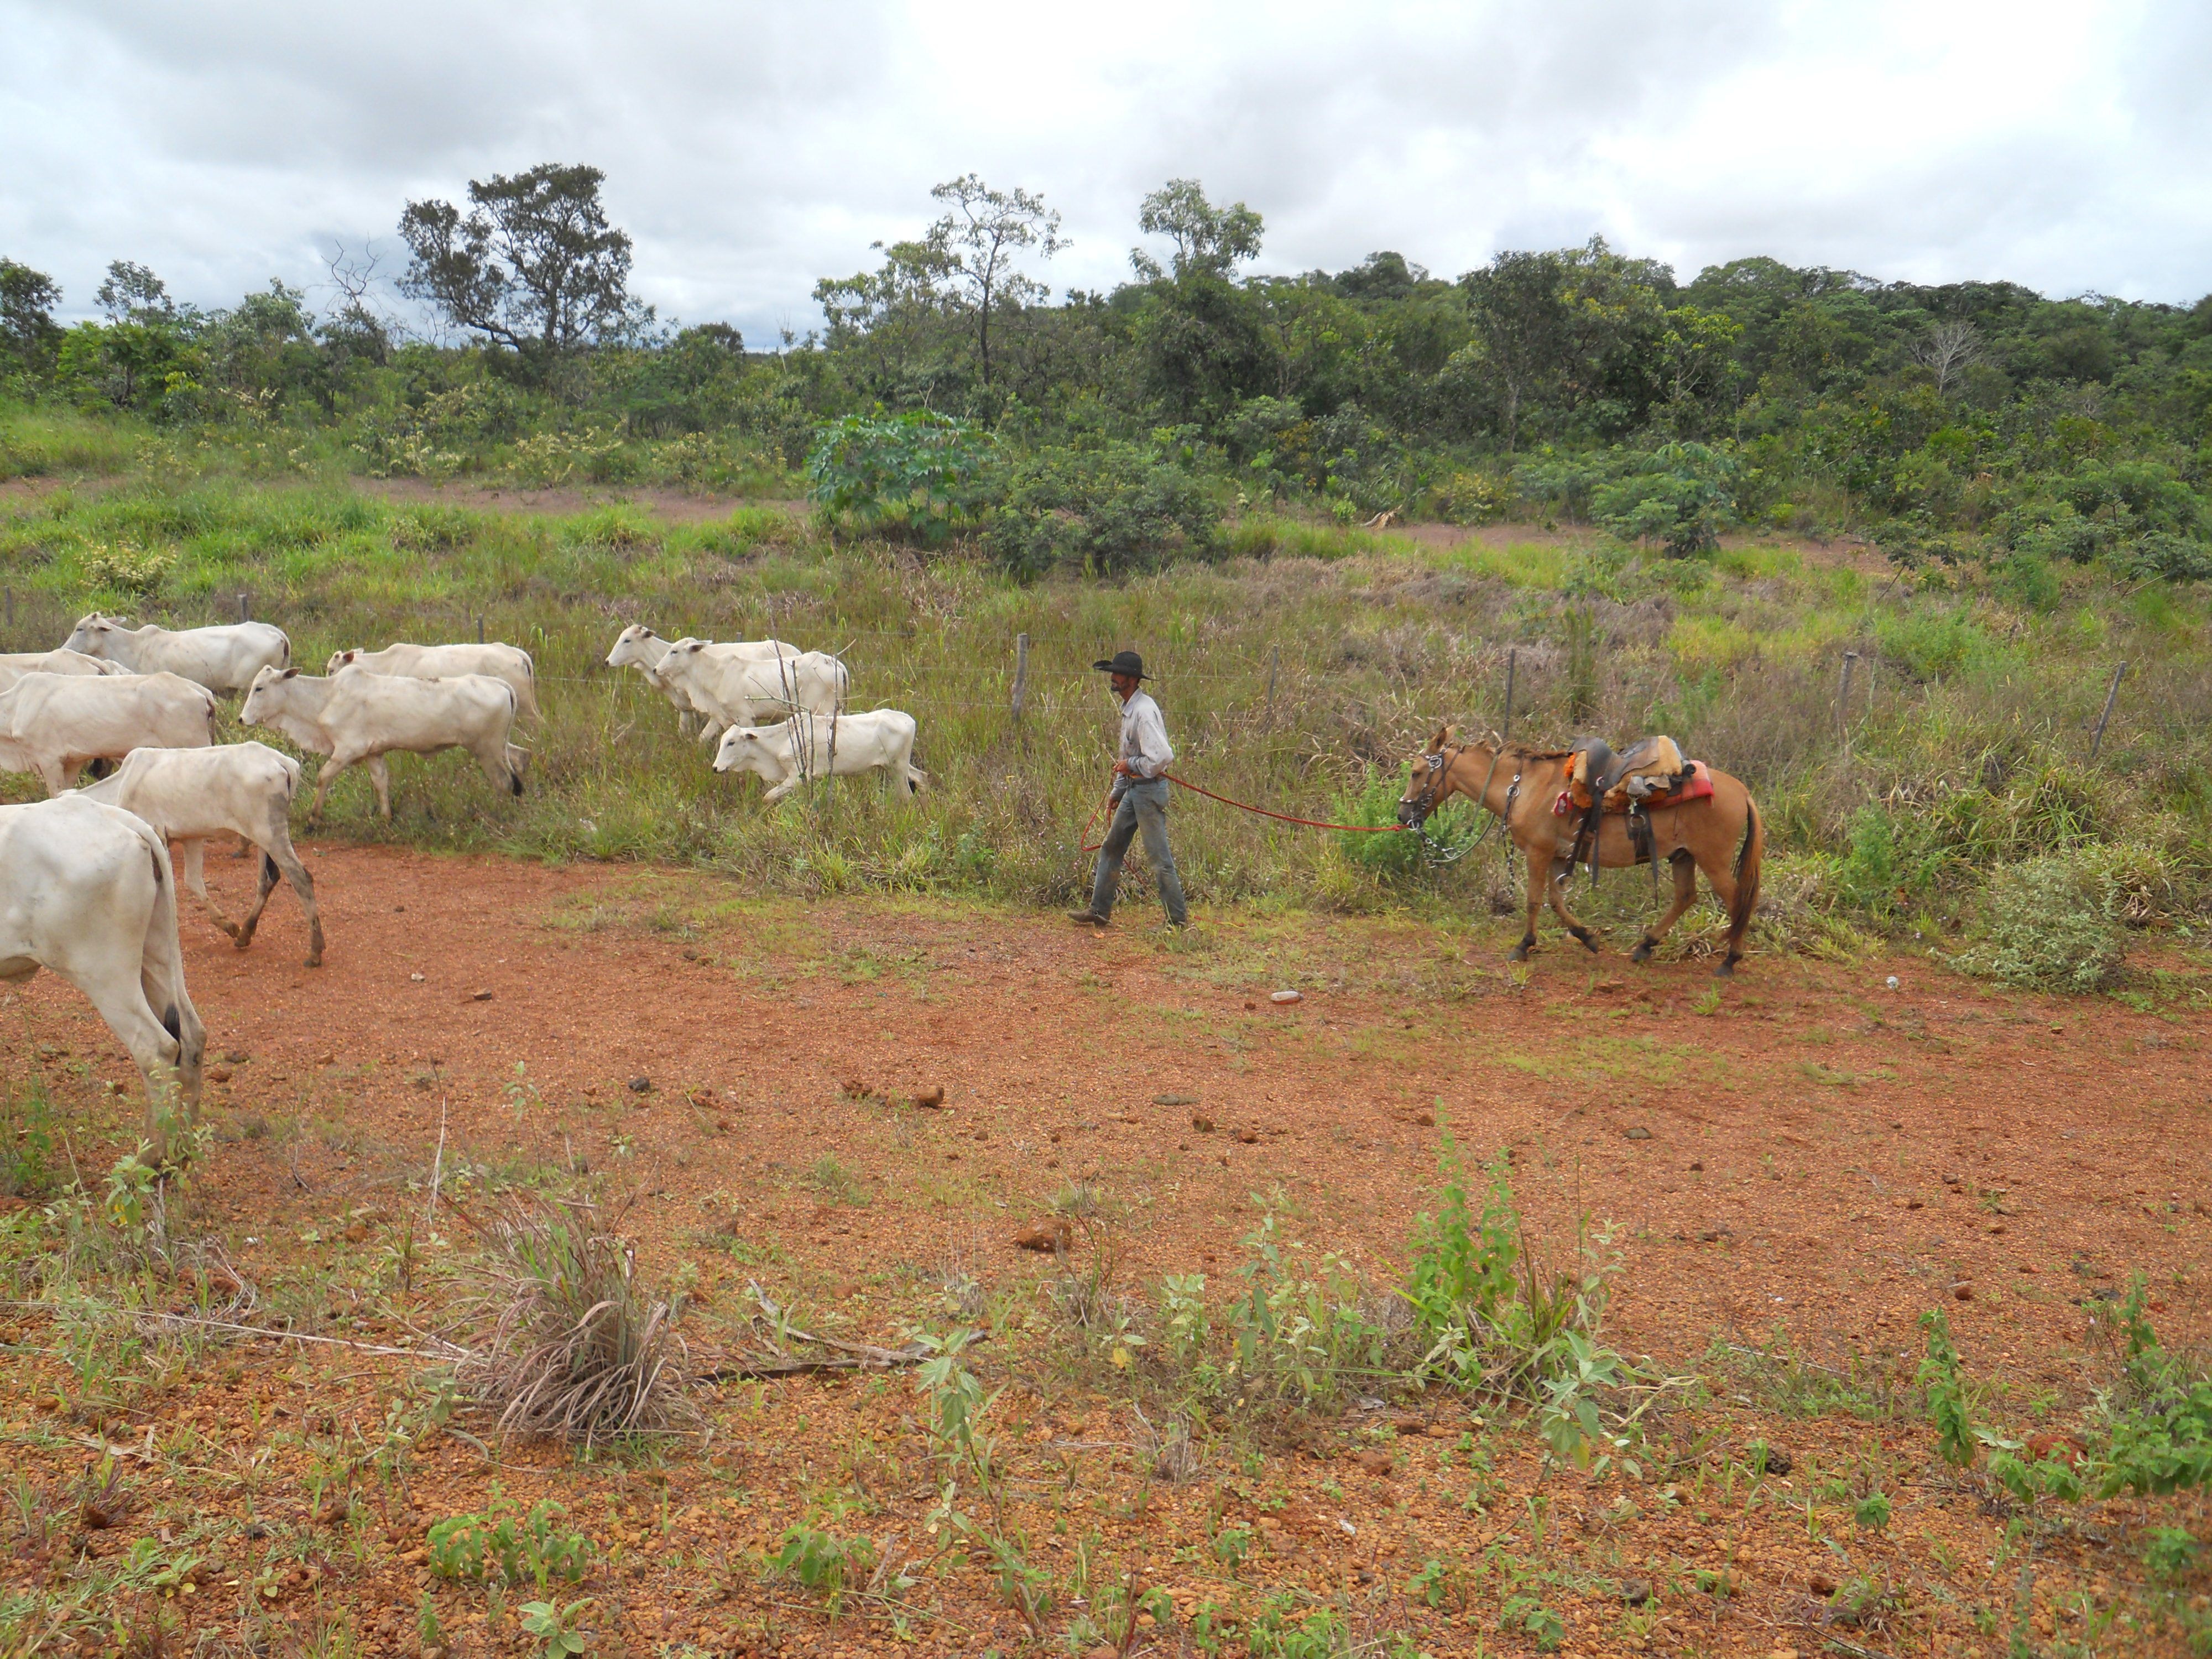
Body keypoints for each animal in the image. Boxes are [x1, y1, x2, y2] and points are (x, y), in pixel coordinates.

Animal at [0, 794, 205, 1164]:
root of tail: (117, 817)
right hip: (156, 957)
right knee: (192, 1037)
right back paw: (184, 1149)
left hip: (106, 976)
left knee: (157, 1048)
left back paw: (148, 1160)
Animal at [77, 742, 326, 967]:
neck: (121, 786)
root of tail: (283, 762)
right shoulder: (192, 838)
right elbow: (194, 882)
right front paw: (228, 925)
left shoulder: (158, 836)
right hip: (263, 837)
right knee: (268, 880)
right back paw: (245, 933)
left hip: (269, 833)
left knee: (301, 878)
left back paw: (315, 951)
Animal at [241, 664, 525, 823]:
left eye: (259, 688)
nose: (242, 718)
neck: (327, 697)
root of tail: (498, 683)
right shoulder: (373, 753)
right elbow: (381, 783)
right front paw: (387, 818)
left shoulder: (347, 750)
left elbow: (324, 777)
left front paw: (313, 818)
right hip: (499, 748)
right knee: (518, 766)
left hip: (487, 750)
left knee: (504, 782)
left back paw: (498, 817)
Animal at [655, 639, 849, 742]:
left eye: (674, 652)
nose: (656, 669)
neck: (716, 674)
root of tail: (834, 662)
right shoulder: (721, 716)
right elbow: (703, 738)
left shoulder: (745, 717)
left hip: (825, 709)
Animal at [712, 709, 925, 803]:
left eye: (731, 742)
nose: (715, 768)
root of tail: (909, 719)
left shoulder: (798, 776)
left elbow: (768, 797)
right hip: (894, 766)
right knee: (922, 777)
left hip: (898, 767)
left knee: (906, 795)